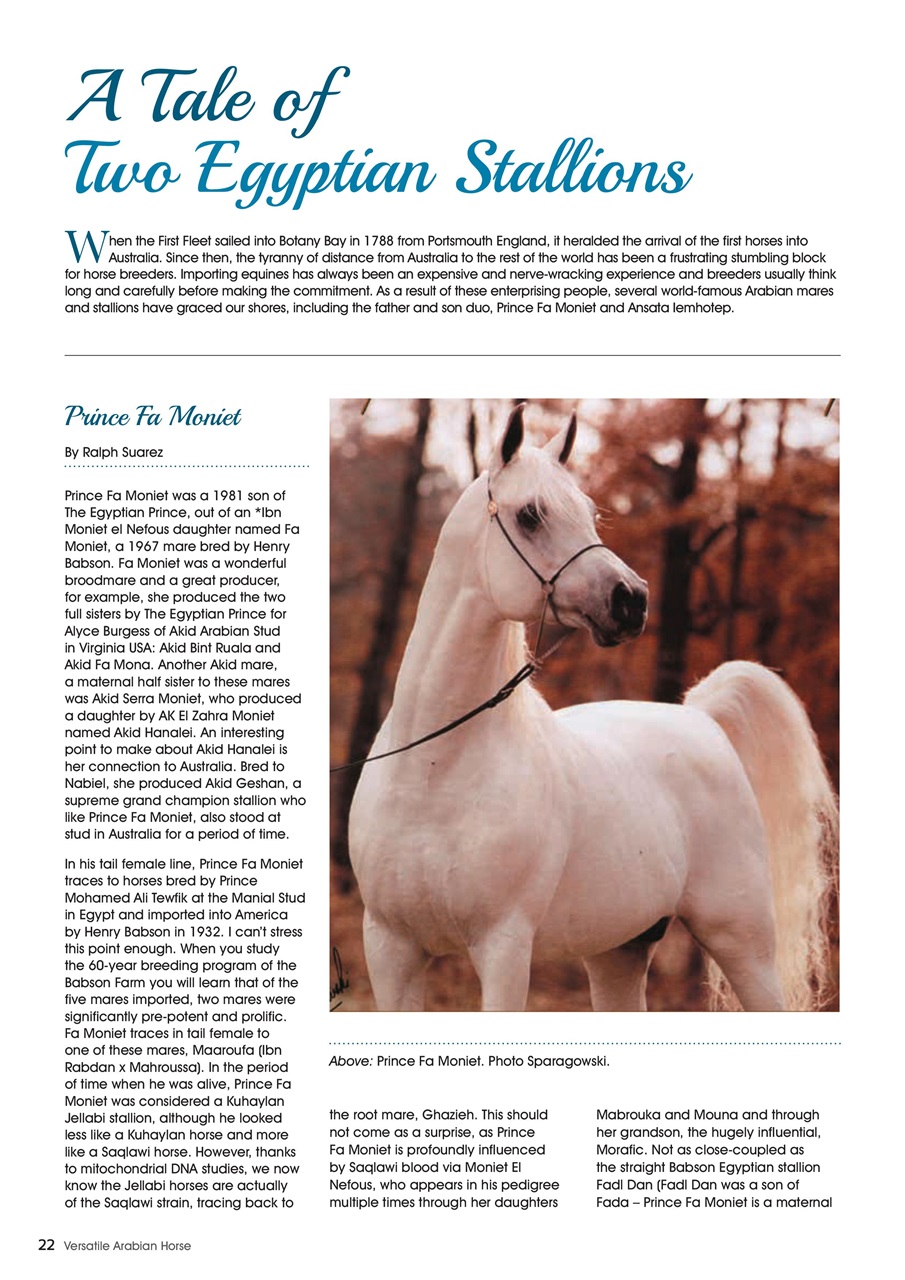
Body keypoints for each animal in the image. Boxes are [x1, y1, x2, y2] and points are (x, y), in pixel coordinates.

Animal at [348, 404, 838, 1012]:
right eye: (530, 515)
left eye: (588, 512)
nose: (632, 600)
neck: (434, 772)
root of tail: (700, 718)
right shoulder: (390, 950)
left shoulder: (504, 948)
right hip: (619, 952)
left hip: (742, 943)